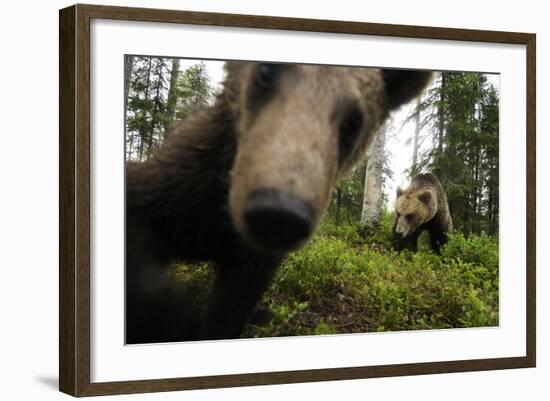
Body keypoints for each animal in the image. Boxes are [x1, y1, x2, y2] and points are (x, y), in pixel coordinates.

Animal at [126, 61, 436, 342]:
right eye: (265, 72)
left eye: (353, 121)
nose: (278, 213)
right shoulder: (179, 189)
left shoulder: (252, 263)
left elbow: (230, 309)